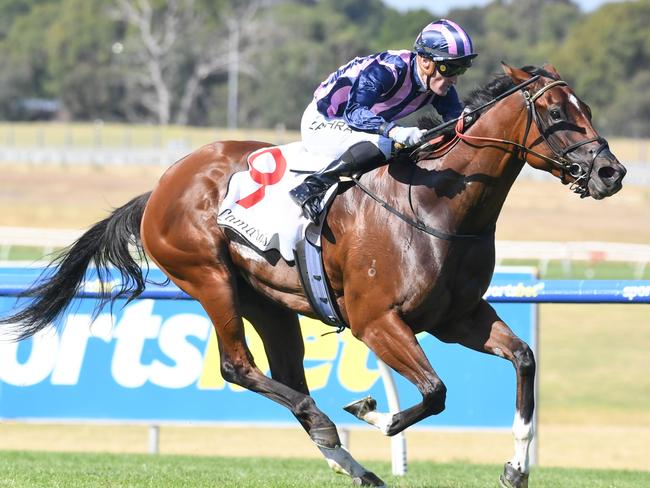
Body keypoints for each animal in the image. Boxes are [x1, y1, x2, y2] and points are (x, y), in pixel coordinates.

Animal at [2, 63, 624, 486]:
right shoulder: (377, 321)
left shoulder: (458, 318)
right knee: (237, 366)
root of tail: (159, 187)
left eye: (588, 108)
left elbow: (523, 360)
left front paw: (516, 467)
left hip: (269, 301)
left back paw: (352, 463)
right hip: (208, 276)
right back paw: (329, 427)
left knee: (287, 375)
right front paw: (371, 412)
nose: (611, 172)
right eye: (558, 114)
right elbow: (433, 392)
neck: (437, 203)